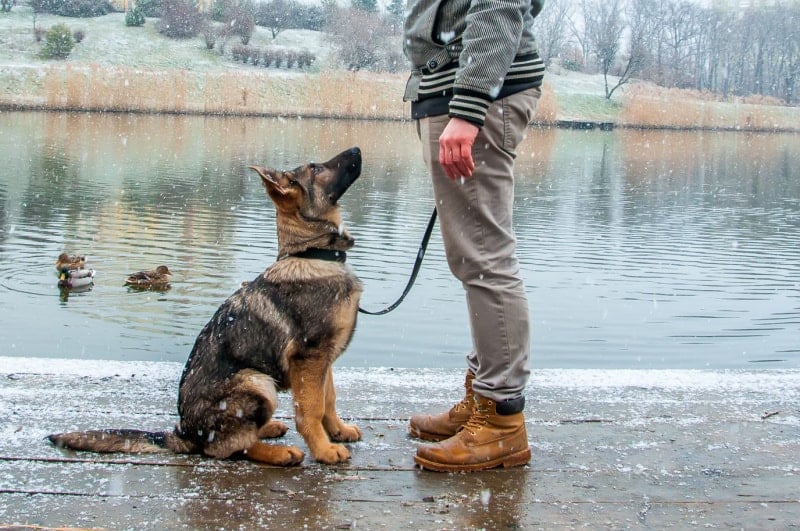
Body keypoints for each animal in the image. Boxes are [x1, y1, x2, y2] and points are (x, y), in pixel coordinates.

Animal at [49, 147, 362, 466]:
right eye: (315, 168)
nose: (356, 150)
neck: (312, 253)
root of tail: (186, 434)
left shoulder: (323, 359)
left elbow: (328, 399)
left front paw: (337, 431)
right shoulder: (309, 357)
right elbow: (311, 409)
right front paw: (323, 450)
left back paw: (269, 428)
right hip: (256, 381)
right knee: (229, 447)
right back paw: (279, 453)